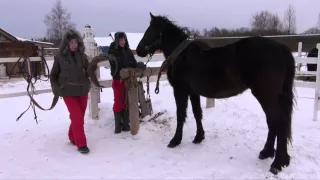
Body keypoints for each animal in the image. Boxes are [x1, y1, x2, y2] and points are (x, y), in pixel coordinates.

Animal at [135, 12, 296, 174]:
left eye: (152, 30)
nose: (139, 50)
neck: (182, 56)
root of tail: (282, 48)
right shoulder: (193, 93)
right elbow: (197, 113)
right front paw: (199, 137)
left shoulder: (180, 91)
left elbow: (181, 115)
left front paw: (175, 140)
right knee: (273, 122)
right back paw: (268, 154)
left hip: (266, 95)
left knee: (278, 121)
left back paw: (276, 163)